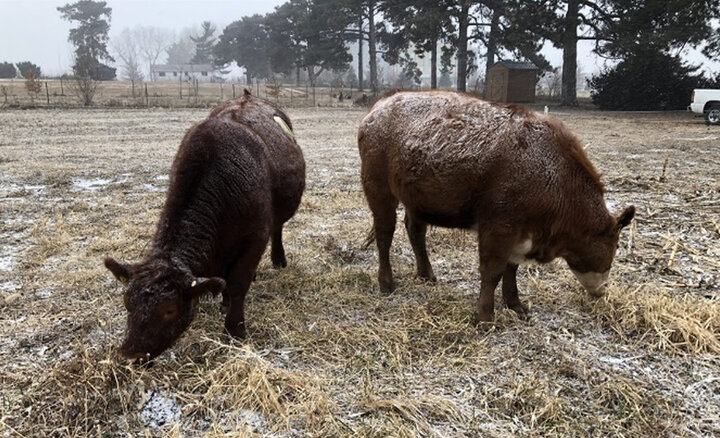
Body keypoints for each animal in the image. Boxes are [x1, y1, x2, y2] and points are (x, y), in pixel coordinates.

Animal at [103, 90, 304, 362]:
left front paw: (234, 329)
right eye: (126, 302)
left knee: (278, 228)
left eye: (169, 310)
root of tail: (248, 96)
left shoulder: (255, 238)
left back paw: (278, 259)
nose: (131, 356)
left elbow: (238, 284)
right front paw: (225, 303)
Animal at [358, 90, 632, 322]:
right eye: (614, 244)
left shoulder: (518, 233)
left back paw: (426, 274)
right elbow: (493, 271)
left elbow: (511, 269)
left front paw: (516, 305)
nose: (602, 291)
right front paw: (485, 316)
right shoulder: (499, 226)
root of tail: (378, 107)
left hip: (417, 199)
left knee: (415, 229)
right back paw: (386, 282)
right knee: (385, 233)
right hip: (378, 188)